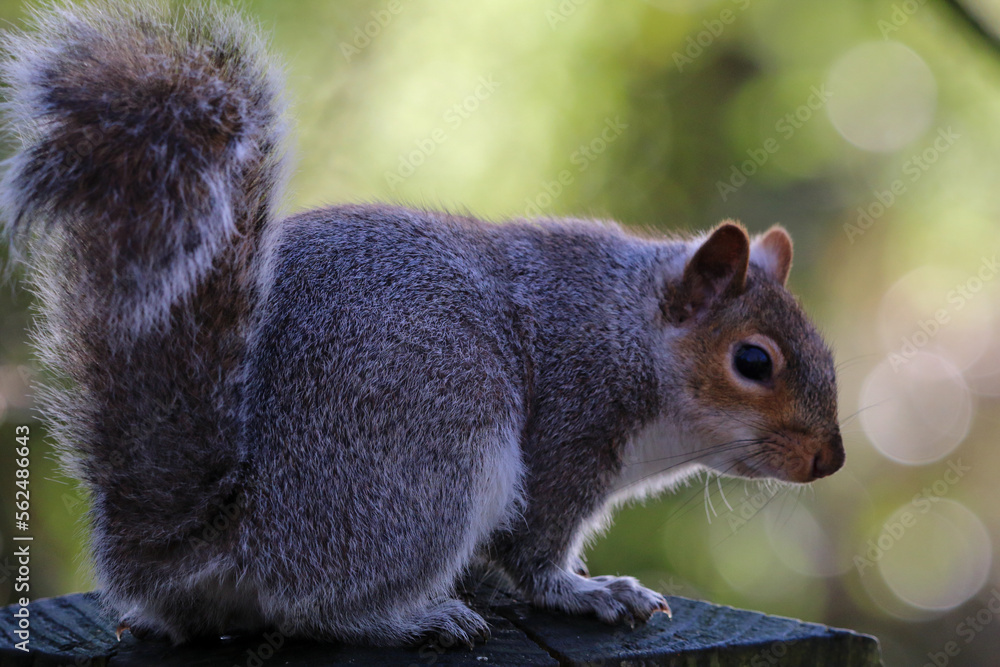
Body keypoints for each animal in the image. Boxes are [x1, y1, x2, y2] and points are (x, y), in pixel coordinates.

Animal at [0, 0, 844, 648]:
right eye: (755, 362)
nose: (830, 459)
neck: (624, 327)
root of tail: (208, 538)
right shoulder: (567, 431)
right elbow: (536, 550)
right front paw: (591, 590)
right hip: (434, 454)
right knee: (319, 604)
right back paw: (414, 617)